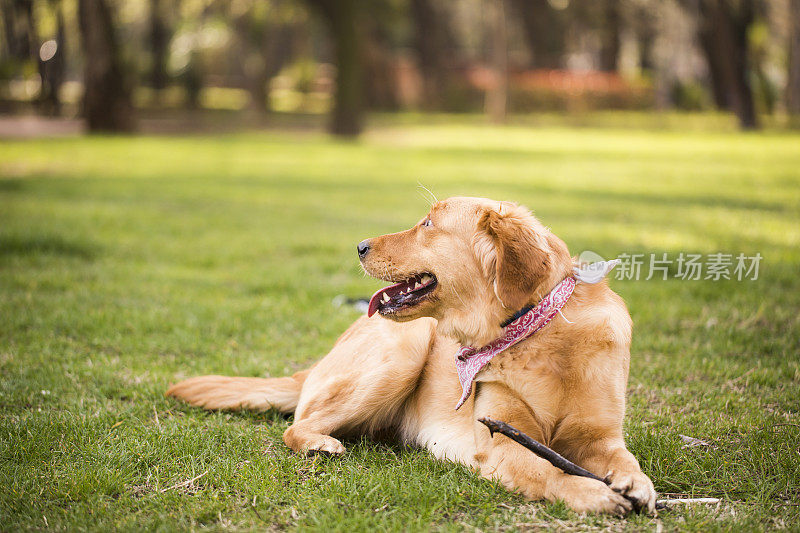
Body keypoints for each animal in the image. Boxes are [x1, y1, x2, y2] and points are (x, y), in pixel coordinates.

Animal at [167, 196, 656, 516]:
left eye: (427, 224)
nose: (359, 245)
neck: (540, 334)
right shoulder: (502, 444)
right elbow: (548, 471)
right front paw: (592, 493)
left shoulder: (600, 438)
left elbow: (624, 460)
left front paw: (637, 484)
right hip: (404, 349)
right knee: (295, 427)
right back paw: (321, 443)